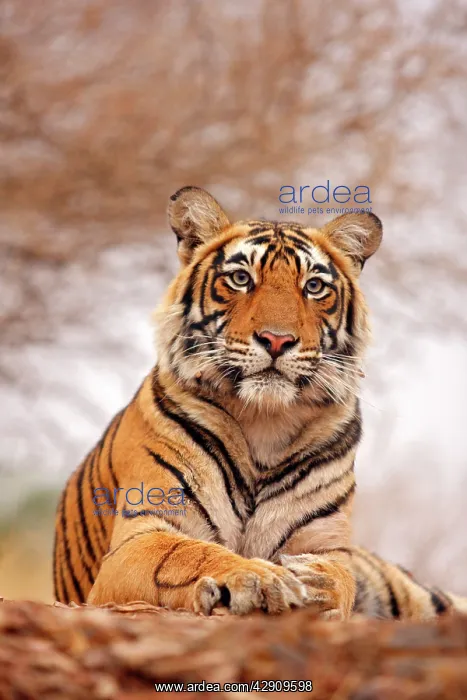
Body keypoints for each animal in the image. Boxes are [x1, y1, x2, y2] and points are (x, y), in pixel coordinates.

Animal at [54, 186, 467, 620]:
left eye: (314, 286)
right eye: (240, 279)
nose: (277, 339)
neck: (264, 421)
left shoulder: (329, 545)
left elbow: (340, 578)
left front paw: (316, 583)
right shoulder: (140, 537)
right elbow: (192, 554)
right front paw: (257, 578)